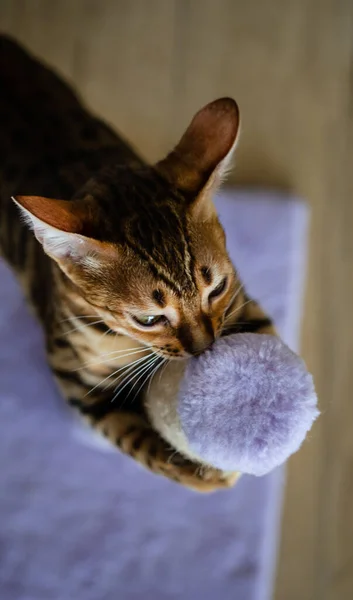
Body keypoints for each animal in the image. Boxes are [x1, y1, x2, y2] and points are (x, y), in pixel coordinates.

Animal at [0, 35, 276, 490]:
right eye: (148, 319)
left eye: (215, 288)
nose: (205, 348)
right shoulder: (77, 380)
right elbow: (139, 441)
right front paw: (205, 472)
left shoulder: (242, 304)